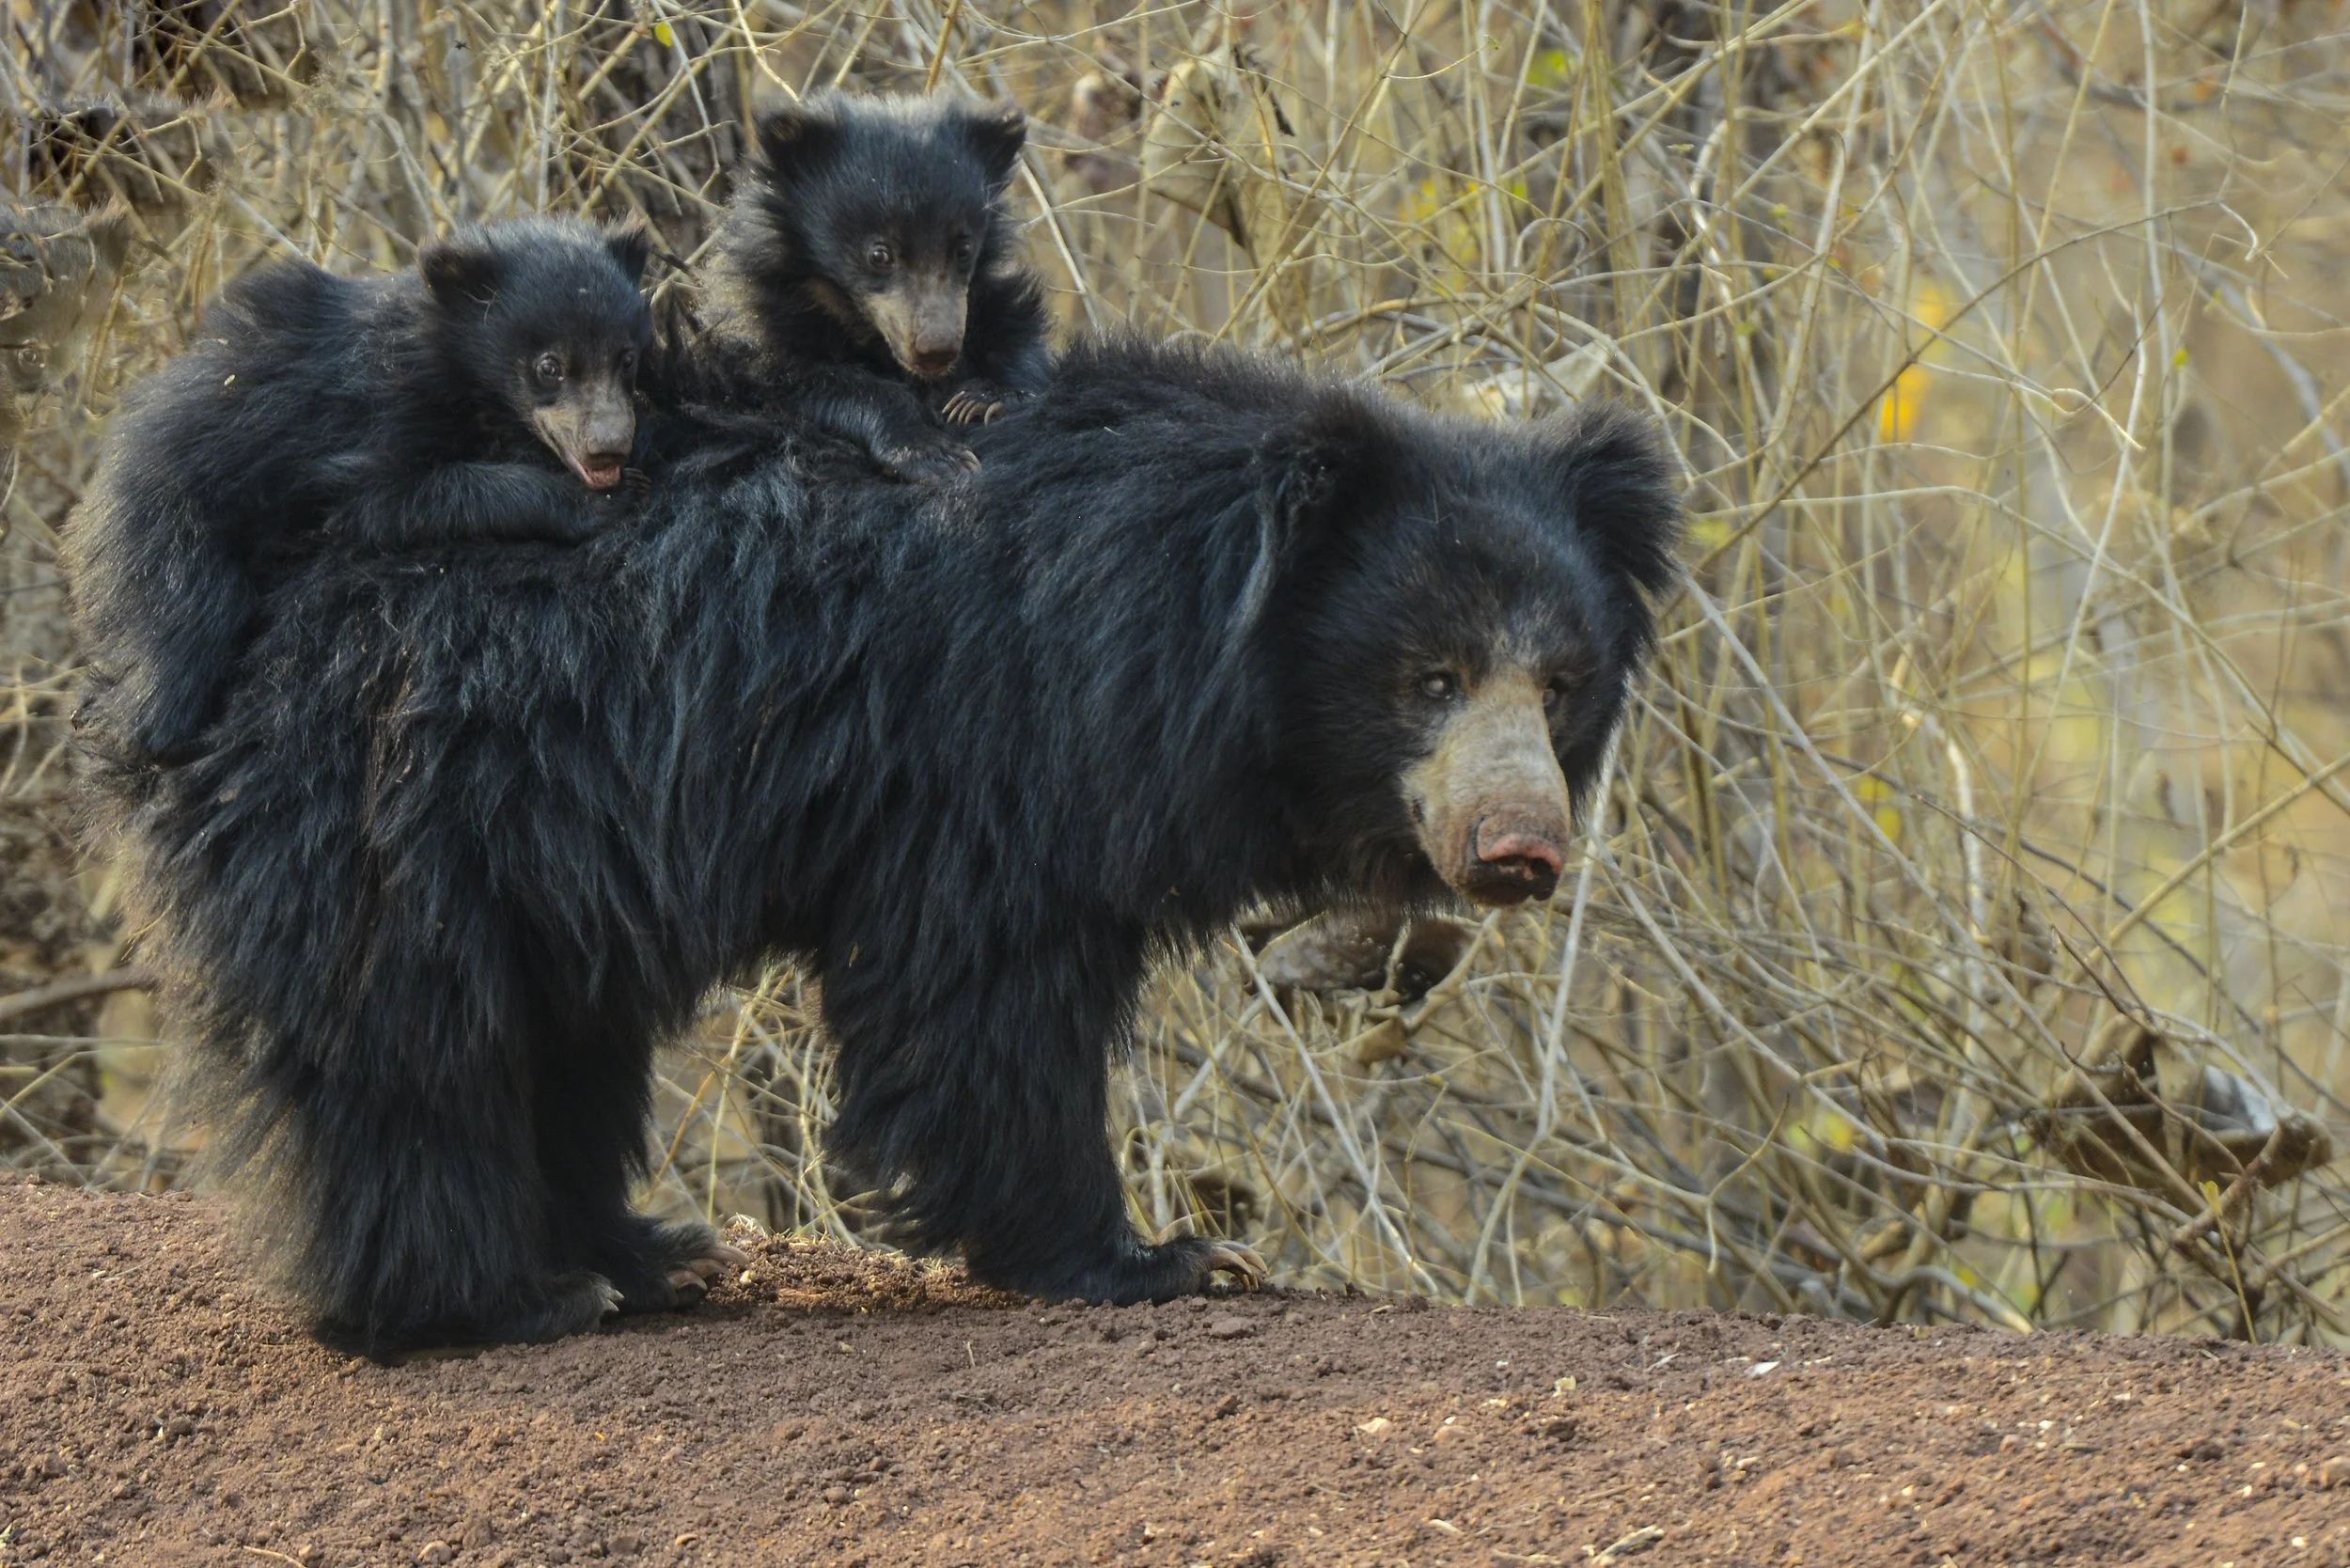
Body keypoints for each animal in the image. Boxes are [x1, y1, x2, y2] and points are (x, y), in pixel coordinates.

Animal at [70, 215, 653, 764]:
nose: (609, 450)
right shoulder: (373, 414)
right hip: (166, 528)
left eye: (626, 358)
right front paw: (599, 502)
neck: (448, 356)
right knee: (183, 623)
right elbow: (389, 499)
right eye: (549, 367)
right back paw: (141, 728)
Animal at [72, 335, 1680, 1355]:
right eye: (1427, 680)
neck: (1179, 622)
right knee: (407, 1048)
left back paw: (642, 1255)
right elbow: (983, 998)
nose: (1519, 849)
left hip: (545, 845)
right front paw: (1157, 1257)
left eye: (1561, 682)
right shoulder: (993, 759)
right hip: (406, 802)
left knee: (560, 1037)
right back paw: (495, 1303)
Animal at [694, 91, 1053, 481]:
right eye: (880, 254)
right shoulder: (765, 332)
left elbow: (1018, 340)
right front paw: (934, 454)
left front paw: (980, 400)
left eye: (964, 249)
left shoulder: (983, 301)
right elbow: (818, 384)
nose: (936, 351)